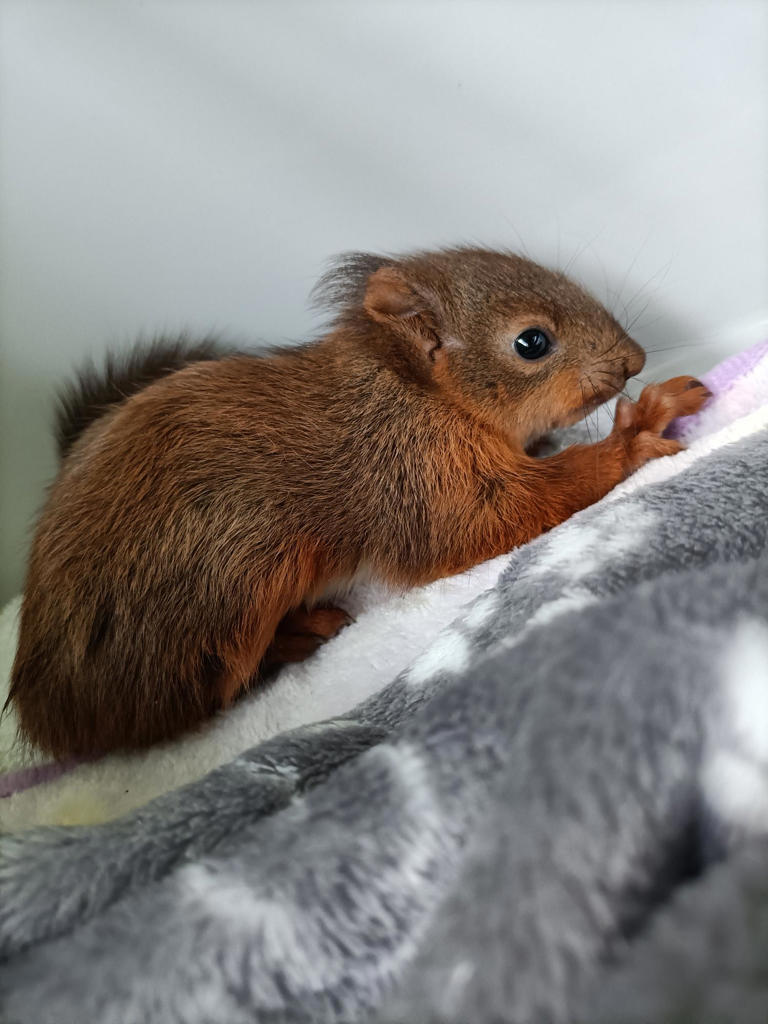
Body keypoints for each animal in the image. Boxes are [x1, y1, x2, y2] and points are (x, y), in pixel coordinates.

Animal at [6, 247, 710, 758]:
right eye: (531, 342)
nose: (635, 360)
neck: (419, 389)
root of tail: (47, 709)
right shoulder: (415, 469)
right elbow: (495, 516)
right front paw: (635, 433)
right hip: (231, 580)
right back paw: (299, 635)